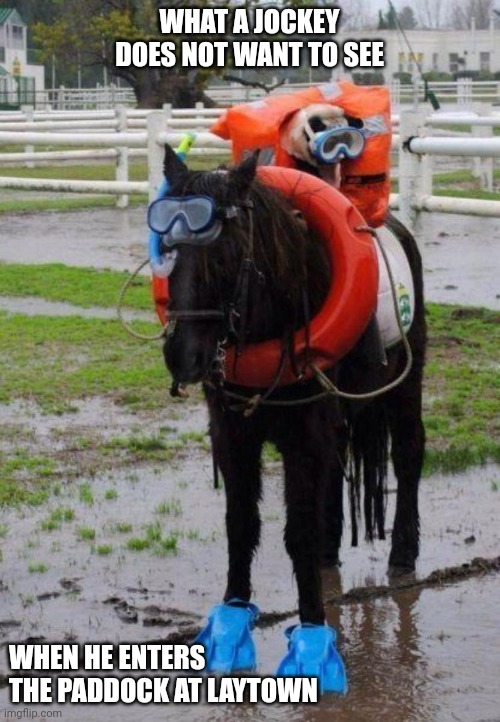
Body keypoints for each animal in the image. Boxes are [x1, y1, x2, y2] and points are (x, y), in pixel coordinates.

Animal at [157, 144, 426, 688]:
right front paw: (230, 624)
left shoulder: (304, 433)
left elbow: (296, 532)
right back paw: (330, 550)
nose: (182, 356)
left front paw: (313, 642)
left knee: (408, 457)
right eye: (167, 246)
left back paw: (403, 554)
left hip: (405, 385)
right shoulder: (233, 432)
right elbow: (242, 523)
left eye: (226, 250)